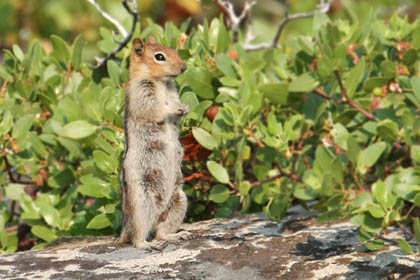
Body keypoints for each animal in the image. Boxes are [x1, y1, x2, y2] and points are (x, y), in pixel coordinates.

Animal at [115, 37, 190, 249]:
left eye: (174, 50)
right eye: (159, 57)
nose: (184, 67)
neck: (161, 83)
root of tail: (125, 225)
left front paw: (184, 108)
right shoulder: (142, 94)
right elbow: (156, 110)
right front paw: (174, 108)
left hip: (178, 201)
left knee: (160, 232)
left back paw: (175, 235)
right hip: (142, 204)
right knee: (138, 236)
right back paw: (145, 244)